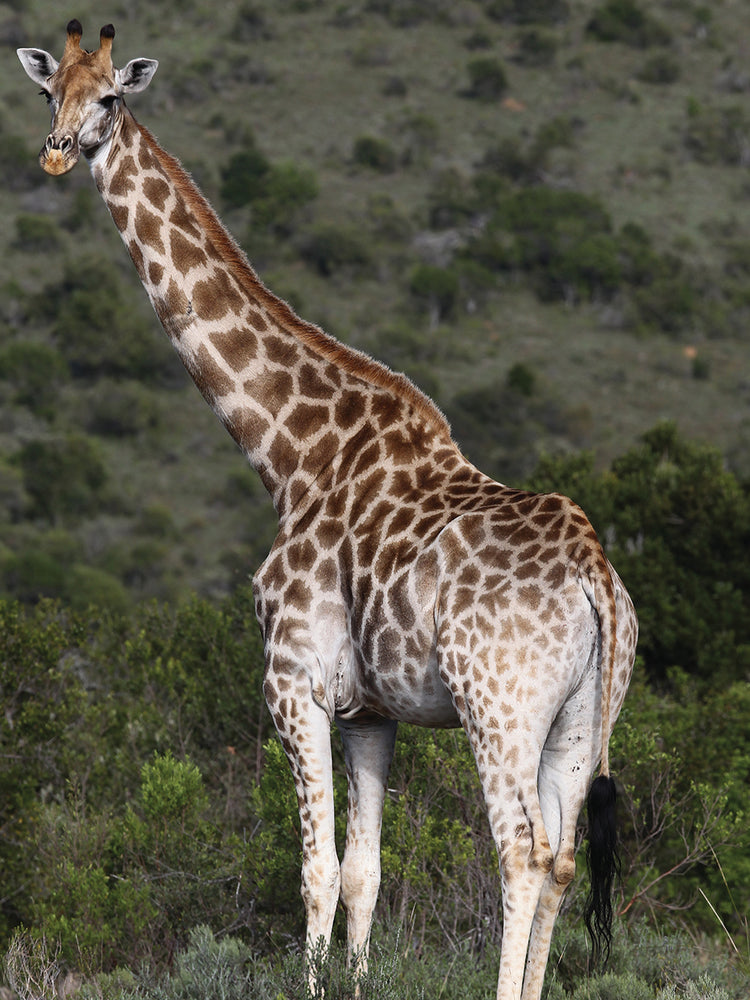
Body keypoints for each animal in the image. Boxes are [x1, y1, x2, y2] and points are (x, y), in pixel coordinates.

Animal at [18, 23, 637, 1000]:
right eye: (50, 93)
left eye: (109, 98)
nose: (53, 150)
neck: (289, 456)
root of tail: (595, 580)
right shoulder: (371, 711)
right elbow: (362, 872)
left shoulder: (292, 682)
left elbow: (310, 870)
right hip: (581, 720)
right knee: (567, 857)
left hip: (498, 707)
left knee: (522, 852)